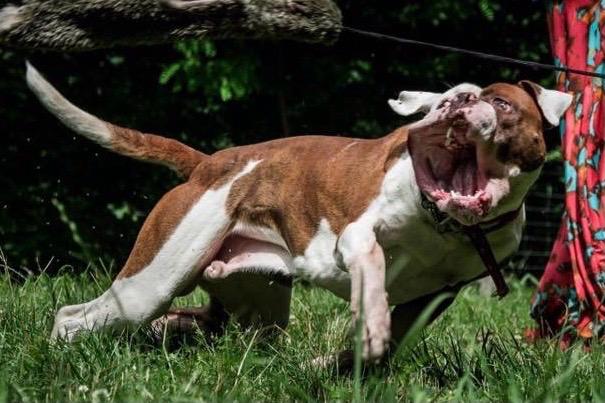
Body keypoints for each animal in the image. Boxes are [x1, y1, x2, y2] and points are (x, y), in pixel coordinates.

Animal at [25, 62, 572, 362]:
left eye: (502, 103)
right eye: (449, 99)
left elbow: (394, 338)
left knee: (202, 323)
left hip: (252, 302)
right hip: (152, 281)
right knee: (75, 317)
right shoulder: (356, 236)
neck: (448, 228)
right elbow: (374, 265)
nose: (459, 104)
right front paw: (369, 324)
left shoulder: (435, 297)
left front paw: (339, 363)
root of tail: (208, 164)